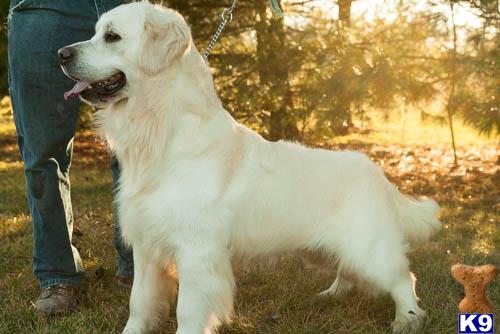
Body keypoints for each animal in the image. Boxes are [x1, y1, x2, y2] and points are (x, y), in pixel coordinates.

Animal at [59, 2, 442, 334]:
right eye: (96, 32)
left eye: (112, 36)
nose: (61, 54)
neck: (161, 128)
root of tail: (376, 173)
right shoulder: (146, 244)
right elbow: (139, 302)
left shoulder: (197, 250)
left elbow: (188, 309)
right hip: (325, 249)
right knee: (350, 272)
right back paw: (331, 295)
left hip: (369, 248)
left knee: (402, 279)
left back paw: (407, 319)